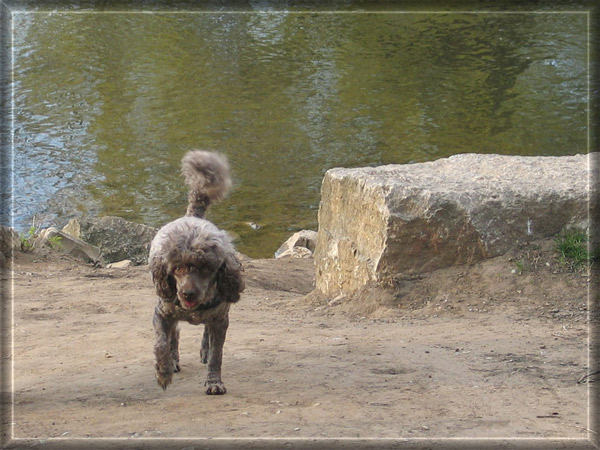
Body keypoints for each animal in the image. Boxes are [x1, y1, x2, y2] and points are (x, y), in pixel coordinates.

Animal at [148, 151, 244, 394]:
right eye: (177, 268)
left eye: (206, 269)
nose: (187, 294)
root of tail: (194, 216)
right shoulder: (161, 314)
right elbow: (161, 343)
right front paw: (163, 372)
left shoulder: (220, 319)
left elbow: (217, 355)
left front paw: (214, 381)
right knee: (174, 335)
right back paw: (173, 360)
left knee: (205, 336)